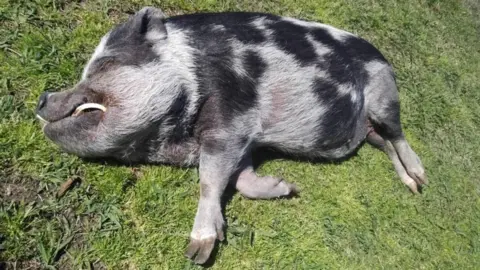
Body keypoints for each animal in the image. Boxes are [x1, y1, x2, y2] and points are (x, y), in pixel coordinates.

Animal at [36, 6, 428, 264]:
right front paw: (287, 187)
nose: (42, 98)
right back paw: (411, 187)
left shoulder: (231, 117)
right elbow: (239, 178)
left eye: (105, 65)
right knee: (384, 141)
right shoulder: (244, 141)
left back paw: (421, 178)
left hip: (383, 93)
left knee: (398, 134)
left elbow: (209, 179)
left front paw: (197, 252)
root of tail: (383, 59)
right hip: (370, 128)